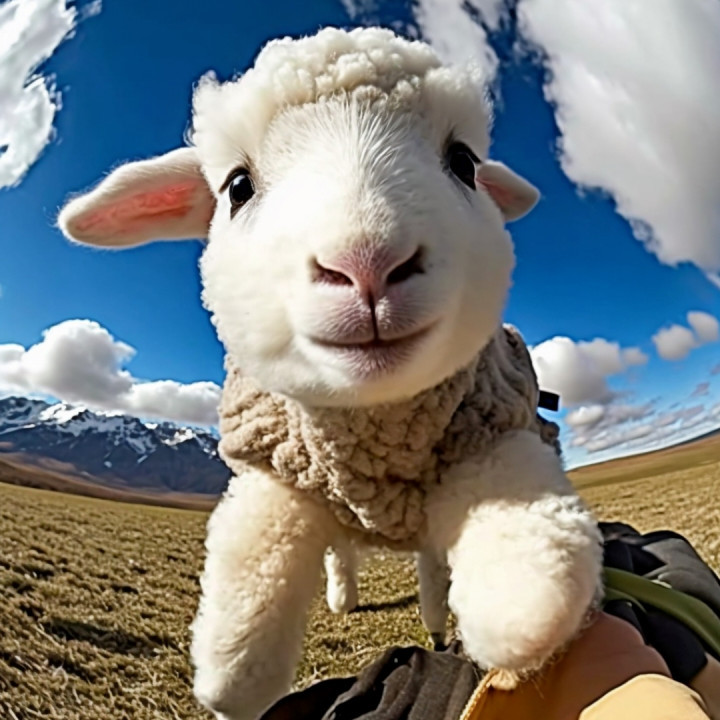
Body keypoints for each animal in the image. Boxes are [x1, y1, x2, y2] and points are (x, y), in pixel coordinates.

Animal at [57, 26, 603, 720]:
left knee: (431, 568)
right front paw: (231, 678)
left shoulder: (493, 429)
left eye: (463, 163)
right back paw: (343, 593)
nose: (367, 264)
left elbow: (534, 569)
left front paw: (517, 619)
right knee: (341, 548)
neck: (374, 429)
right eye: (237, 187)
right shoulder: (275, 464)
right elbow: (244, 619)